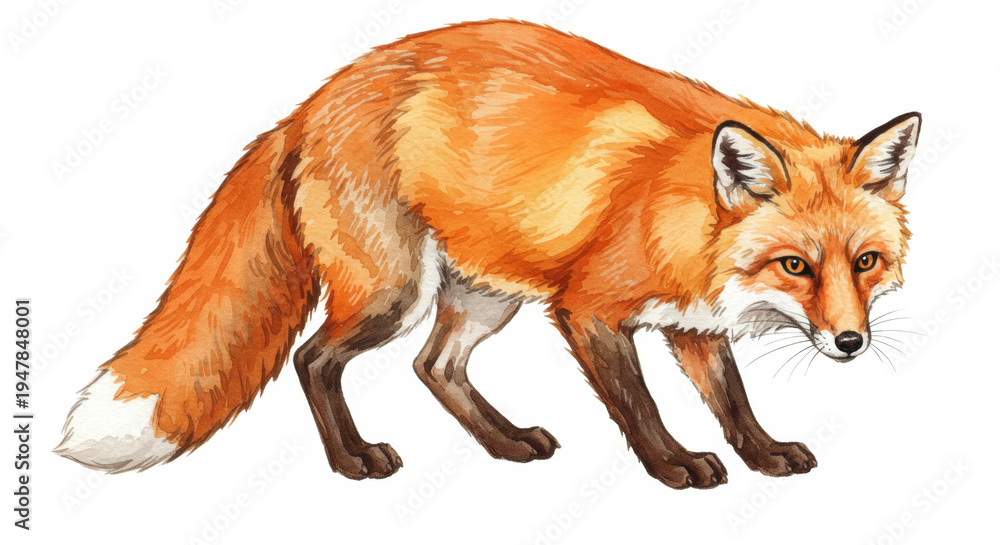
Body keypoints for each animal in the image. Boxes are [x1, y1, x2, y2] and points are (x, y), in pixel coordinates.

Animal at [55, 20, 920, 489]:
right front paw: (673, 465)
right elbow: (640, 405)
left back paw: (506, 443)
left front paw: (763, 454)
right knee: (313, 358)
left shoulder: (690, 323)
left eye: (866, 262)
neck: (680, 211)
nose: (851, 341)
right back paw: (353, 460)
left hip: (483, 292)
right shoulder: (588, 308)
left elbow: (734, 401)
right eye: (796, 265)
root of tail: (310, 103)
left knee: (434, 366)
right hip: (394, 292)